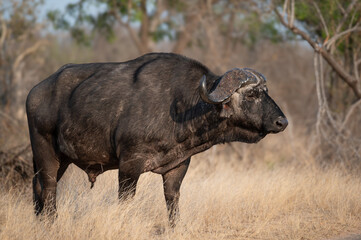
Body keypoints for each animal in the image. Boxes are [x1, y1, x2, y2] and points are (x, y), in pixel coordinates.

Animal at [26, 52, 286, 225]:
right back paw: (51, 223)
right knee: (49, 188)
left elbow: (172, 201)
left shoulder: (177, 167)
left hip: (60, 160)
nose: (282, 122)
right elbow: (126, 200)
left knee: (39, 187)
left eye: (266, 92)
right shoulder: (129, 166)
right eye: (252, 94)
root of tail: (35, 91)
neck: (183, 105)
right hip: (45, 152)